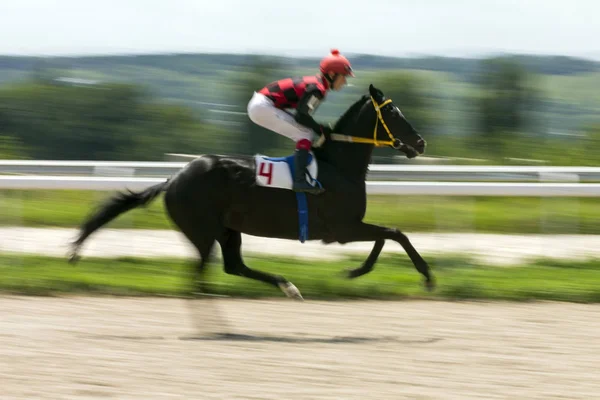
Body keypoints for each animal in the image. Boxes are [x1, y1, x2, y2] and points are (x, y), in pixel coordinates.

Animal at [68, 83, 434, 300]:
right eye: (392, 112)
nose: (420, 143)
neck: (338, 165)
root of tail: (173, 179)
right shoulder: (343, 228)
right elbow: (394, 233)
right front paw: (426, 276)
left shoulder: (348, 228)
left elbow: (386, 236)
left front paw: (356, 270)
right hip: (204, 231)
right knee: (208, 270)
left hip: (229, 229)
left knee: (234, 266)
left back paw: (287, 286)